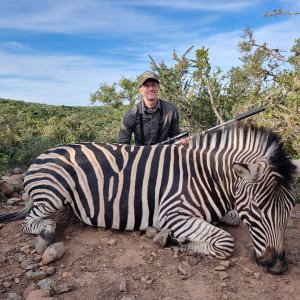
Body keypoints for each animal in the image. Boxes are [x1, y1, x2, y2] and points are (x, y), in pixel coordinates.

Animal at [0, 122, 298, 274]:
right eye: (258, 209)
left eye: (290, 209)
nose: (279, 267)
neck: (206, 177)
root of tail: (46, 152)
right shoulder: (173, 213)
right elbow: (225, 241)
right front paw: (178, 243)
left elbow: (232, 219)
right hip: (52, 193)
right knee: (31, 222)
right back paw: (48, 231)